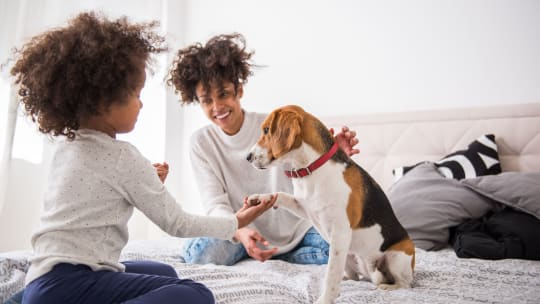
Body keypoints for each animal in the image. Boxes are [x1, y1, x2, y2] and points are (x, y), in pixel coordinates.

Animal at [247, 105, 416, 304]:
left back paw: (388, 286)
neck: (311, 169)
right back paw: (348, 279)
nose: (248, 157)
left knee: (405, 283)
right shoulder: (304, 207)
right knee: (354, 277)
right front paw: (262, 198)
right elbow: (281, 195)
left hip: (396, 255)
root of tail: (370, 271)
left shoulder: (340, 232)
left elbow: (331, 274)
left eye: (266, 130)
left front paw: (325, 298)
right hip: (349, 256)